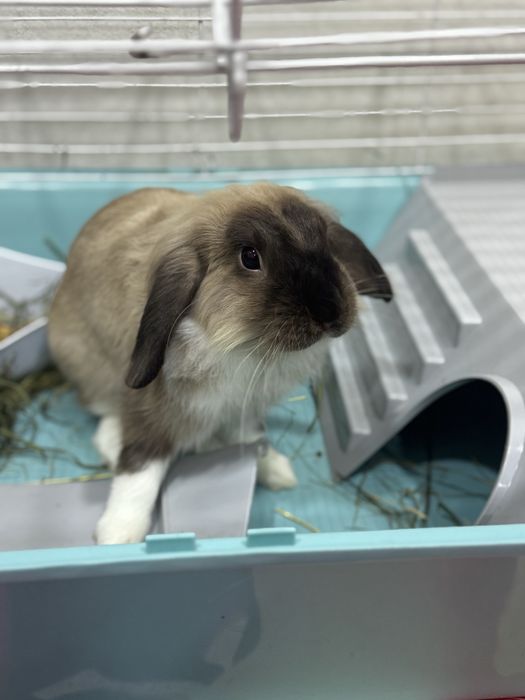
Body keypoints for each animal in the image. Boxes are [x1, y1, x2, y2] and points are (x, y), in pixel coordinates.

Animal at [48, 184, 392, 544]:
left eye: (325, 240)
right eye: (250, 257)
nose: (329, 311)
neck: (240, 342)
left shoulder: (245, 408)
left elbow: (254, 441)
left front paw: (278, 471)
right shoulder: (153, 411)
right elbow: (140, 469)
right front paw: (118, 533)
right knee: (104, 415)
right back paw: (113, 445)